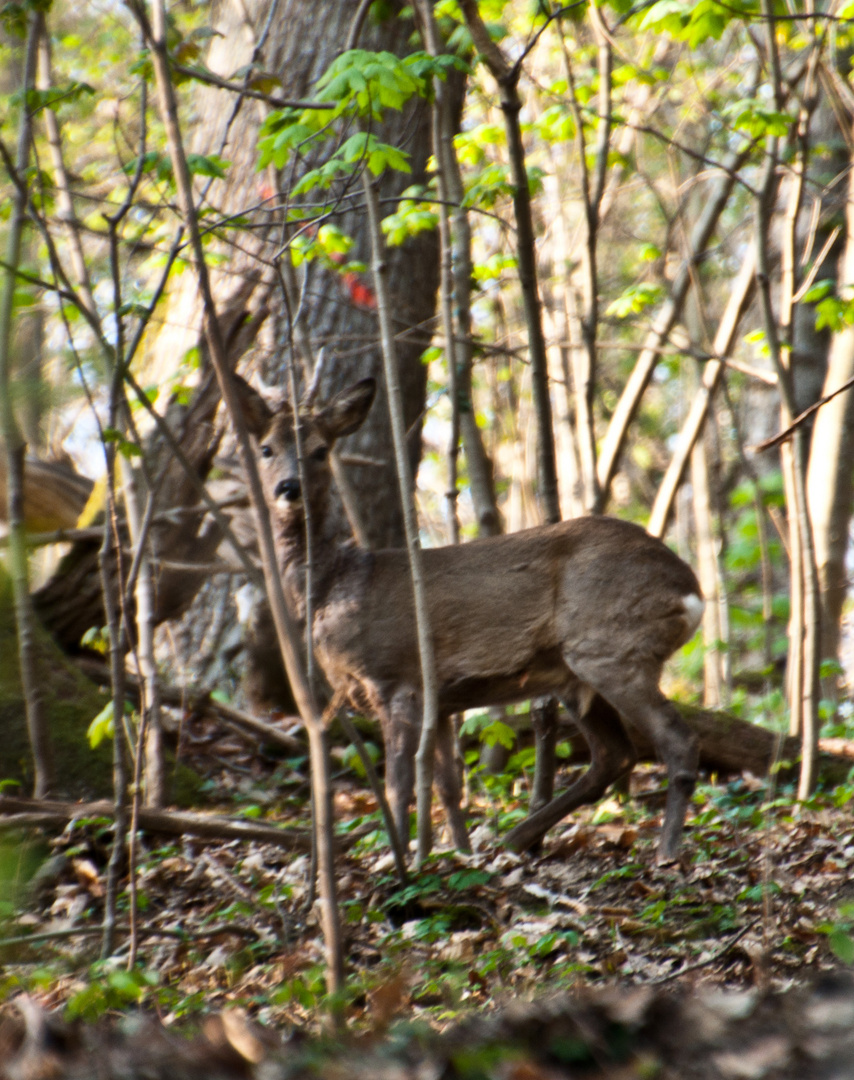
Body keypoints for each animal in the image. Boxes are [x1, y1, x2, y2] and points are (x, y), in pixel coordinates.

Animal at [234, 375, 708, 864]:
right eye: (266, 448)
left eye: (320, 450)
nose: (288, 488)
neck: (339, 584)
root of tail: (690, 590)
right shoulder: (440, 702)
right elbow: (448, 784)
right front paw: (456, 853)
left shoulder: (396, 678)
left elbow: (400, 783)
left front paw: (399, 859)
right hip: (574, 673)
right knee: (615, 754)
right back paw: (516, 838)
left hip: (611, 646)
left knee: (676, 740)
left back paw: (666, 851)